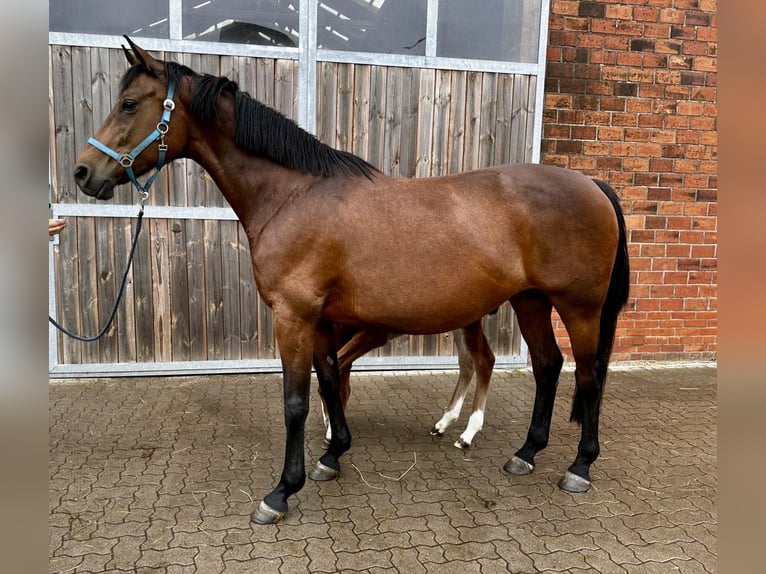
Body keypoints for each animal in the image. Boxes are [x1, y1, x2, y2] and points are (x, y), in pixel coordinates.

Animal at [322, 319, 498, 449]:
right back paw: (443, 423)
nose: (326, 422)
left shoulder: (374, 334)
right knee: (467, 362)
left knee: (484, 360)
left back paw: (467, 435)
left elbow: (341, 376)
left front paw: (332, 434)